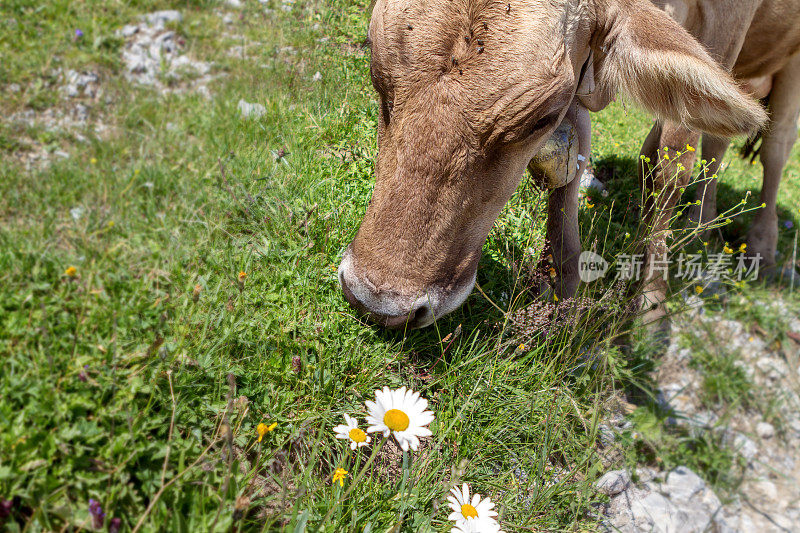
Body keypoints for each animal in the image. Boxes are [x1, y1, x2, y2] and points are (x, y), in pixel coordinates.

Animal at [336, 0, 768, 328]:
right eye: (376, 71)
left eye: (539, 119)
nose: (378, 304)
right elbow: (575, 150)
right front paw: (563, 279)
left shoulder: (725, 24)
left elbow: (674, 163)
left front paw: (651, 305)